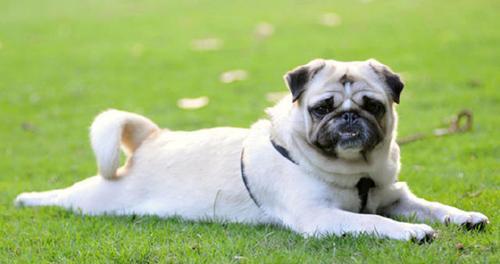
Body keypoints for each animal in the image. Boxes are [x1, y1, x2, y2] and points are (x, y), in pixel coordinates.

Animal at [14, 59, 488, 241]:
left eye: (372, 105)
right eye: (322, 108)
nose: (349, 118)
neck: (357, 173)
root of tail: (151, 137)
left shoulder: (395, 197)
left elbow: (432, 206)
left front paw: (463, 217)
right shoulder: (319, 217)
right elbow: (371, 221)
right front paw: (411, 232)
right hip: (98, 198)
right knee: (64, 197)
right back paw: (27, 199)